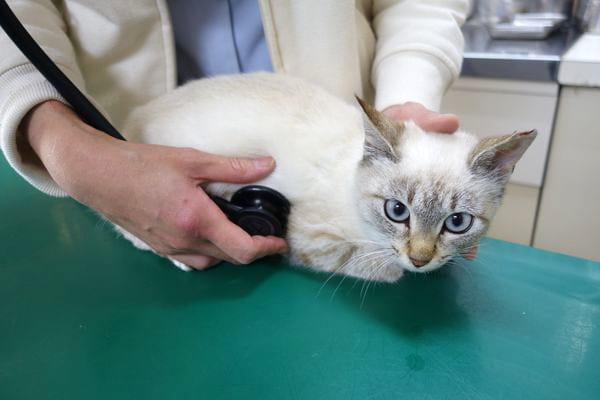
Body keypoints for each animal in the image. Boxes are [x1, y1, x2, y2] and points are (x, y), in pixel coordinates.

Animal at [119, 73, 536, 282]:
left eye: (457, 222)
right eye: (397, 211)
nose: (420, 260)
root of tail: (139, 111)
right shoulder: (308, 239)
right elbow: (382, 267)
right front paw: (401, 268)